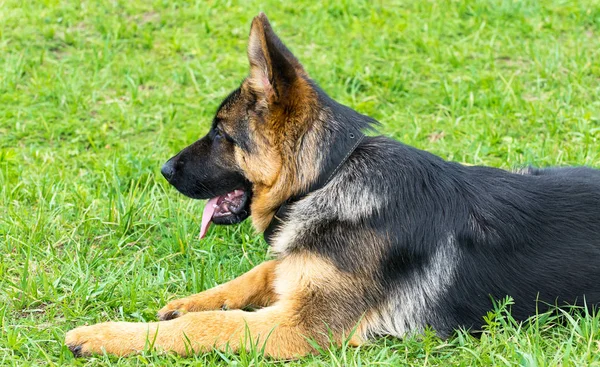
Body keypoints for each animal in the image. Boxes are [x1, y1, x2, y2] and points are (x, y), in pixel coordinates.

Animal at [64, 12, 600, 360]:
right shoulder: (293, 275)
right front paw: (187, 302)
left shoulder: (295, 328)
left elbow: (212, 323)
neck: (328, 177)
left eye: (220, 134)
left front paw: (107, 335)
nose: (164, 169)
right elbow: (257, 274)